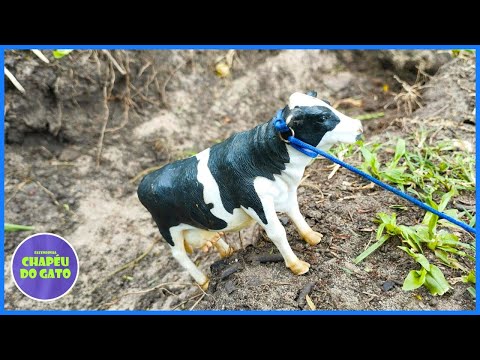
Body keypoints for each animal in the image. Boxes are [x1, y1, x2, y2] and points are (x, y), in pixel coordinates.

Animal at [139, 90, 364, 290]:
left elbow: (296, 213)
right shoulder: (255, 201)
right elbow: (277, 233)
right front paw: (297, 266)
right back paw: (204, 281)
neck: (263, 155)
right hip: (168, 229)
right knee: (180, 256)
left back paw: (226, 251)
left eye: (328, 104)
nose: (359, 127)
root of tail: (145, 181)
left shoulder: (286, 191)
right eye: (322, 117)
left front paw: (313, 237)